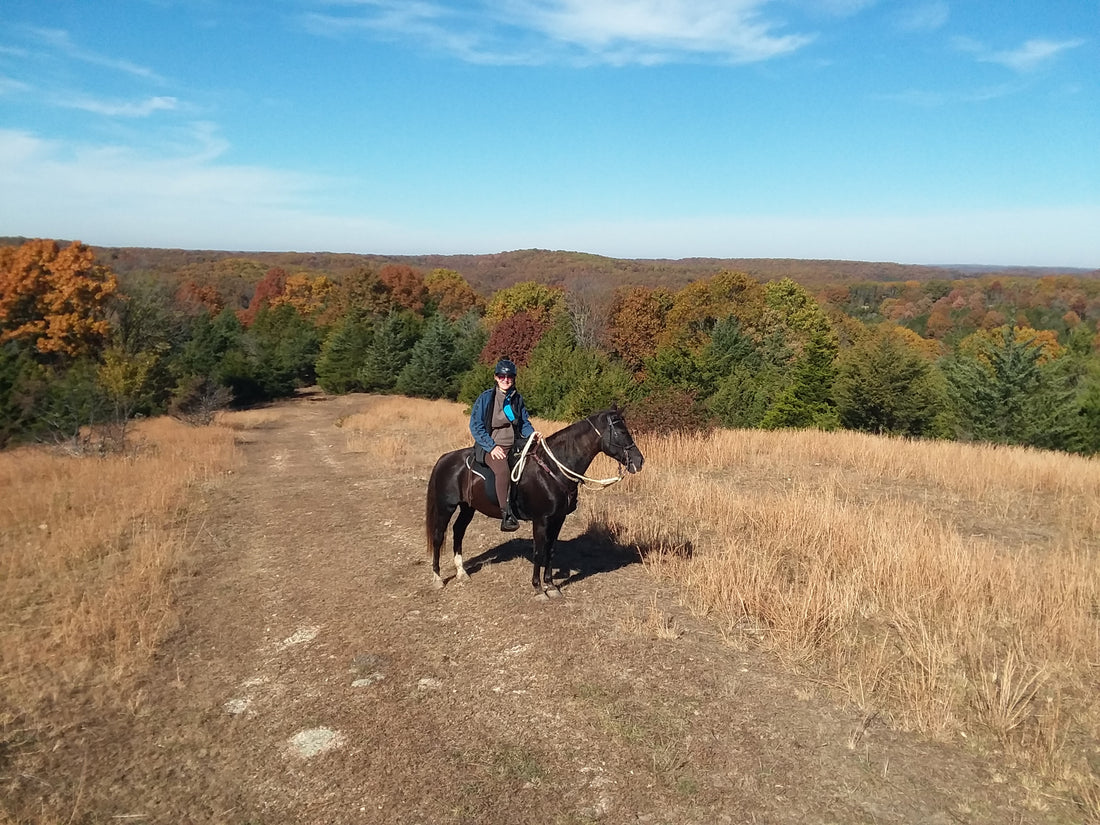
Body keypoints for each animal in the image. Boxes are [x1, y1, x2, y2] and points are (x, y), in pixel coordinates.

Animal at [422, 404, 642, 594]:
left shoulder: (558, 519)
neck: (553, 469)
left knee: (458, 531)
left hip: (468, 507)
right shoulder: (541, 519)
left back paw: (461, 572)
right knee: (439, 536)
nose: (639, 461)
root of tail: (446, 459)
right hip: (446, 507)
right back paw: (437, 578)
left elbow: (550, 550)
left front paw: (551, 585)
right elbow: (538, 552)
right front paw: (537, 588)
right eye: (622, 432)